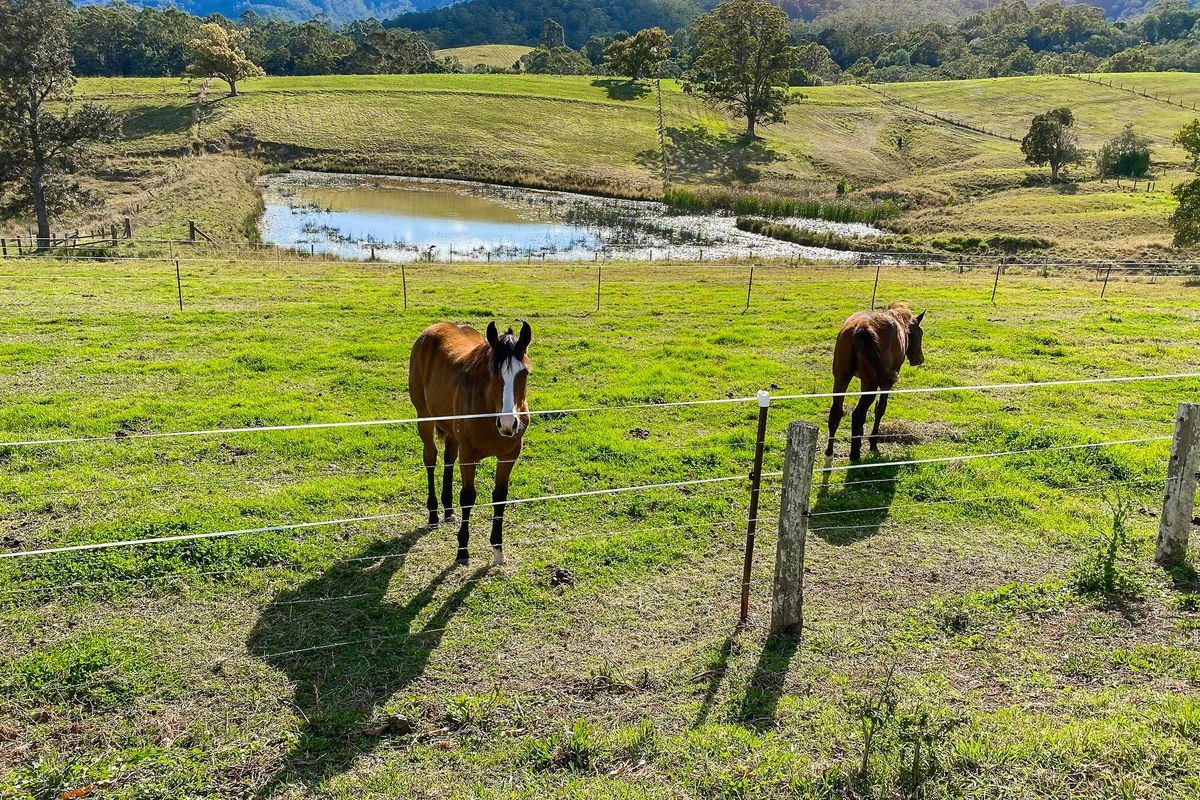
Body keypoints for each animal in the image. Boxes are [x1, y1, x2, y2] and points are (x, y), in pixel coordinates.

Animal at [408, 321, 530, 568]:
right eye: (494, 372)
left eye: (524, 372)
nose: (508, 423)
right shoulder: (468, 455)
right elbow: (467, 497)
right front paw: (462, 551)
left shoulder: (509, 454)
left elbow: (500, 496)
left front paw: (498, 550)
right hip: (424, 418)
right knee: (430, 459)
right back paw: (434, 514)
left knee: (448, 459)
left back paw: (448, 510)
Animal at [825, 302, 926, 462]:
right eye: (920, 333)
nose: (920, 359)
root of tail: (861, 328)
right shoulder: (886, 384)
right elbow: (880, 409)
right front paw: (873, 443)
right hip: (870, 384)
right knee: (858, 414)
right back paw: (855, 455)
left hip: (842, 378)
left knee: (836, 412)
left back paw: (829, 454)